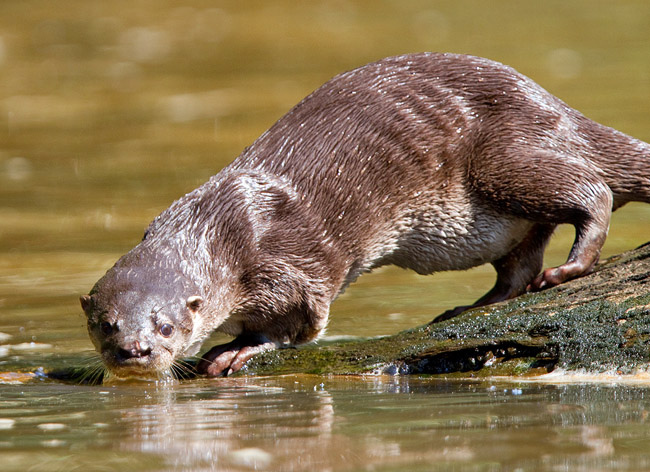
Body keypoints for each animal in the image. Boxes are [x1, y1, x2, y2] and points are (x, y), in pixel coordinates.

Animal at [79, 51, 648, 378]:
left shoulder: (289, 266)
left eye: (166, 326)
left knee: (591, 190)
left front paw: (239, 348)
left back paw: (572, 267)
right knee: (520, 263)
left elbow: (298, 322)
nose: (133, 351)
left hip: (504, 161)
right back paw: (470, 308)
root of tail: (558, 109)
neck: (219, 228)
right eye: (106, 325)